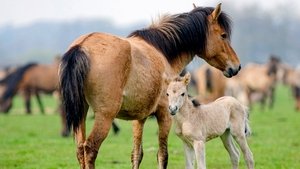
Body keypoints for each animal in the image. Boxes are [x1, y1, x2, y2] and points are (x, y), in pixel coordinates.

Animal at [59, 3, 240, 169]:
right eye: (223, 35)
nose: (236, 67)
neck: (163, 52)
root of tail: (82, 46)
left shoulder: (139, 118)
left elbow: (136, 154)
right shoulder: (165, 115)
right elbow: (162, 155)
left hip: (82, 113)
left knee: (80, 149)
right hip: (105, 116)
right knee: (90, 149)